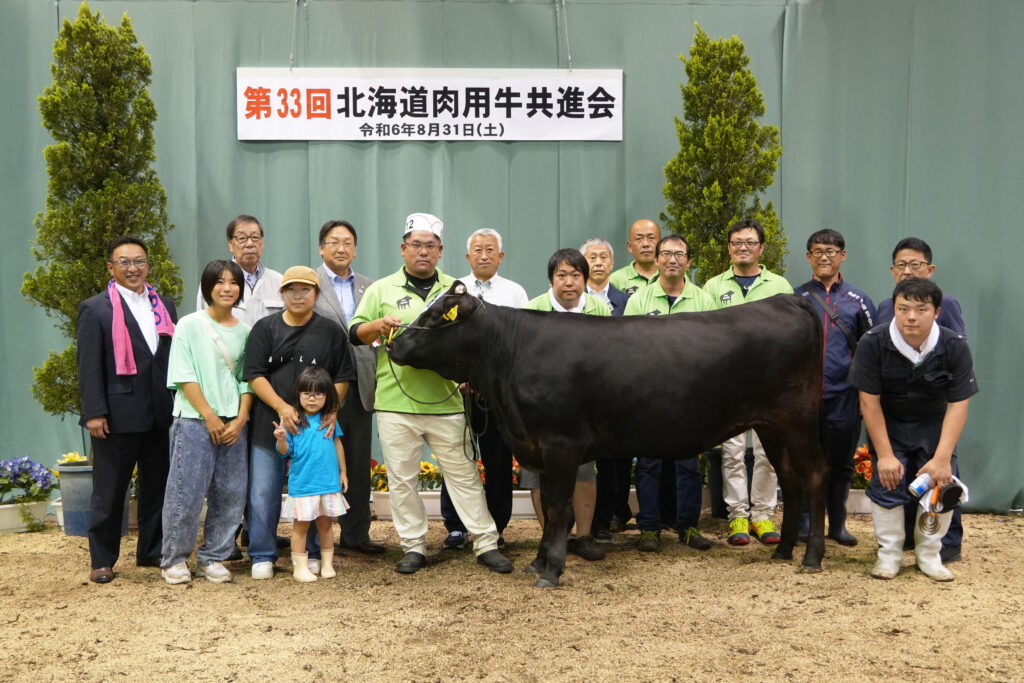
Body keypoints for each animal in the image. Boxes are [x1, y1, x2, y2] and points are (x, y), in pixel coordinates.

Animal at [387, 282, 827, 589]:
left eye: (434, 317)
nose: (394, 343)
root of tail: (787, 300)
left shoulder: (561, 444)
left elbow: (559, 509)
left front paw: (551, 570)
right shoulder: (538, 447)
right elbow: (550, 508)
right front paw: (539, 561)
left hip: (799, 418)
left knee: (814, 477)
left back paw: (812, 558)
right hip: (772, 426)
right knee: (790, 479)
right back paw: (783, 551)